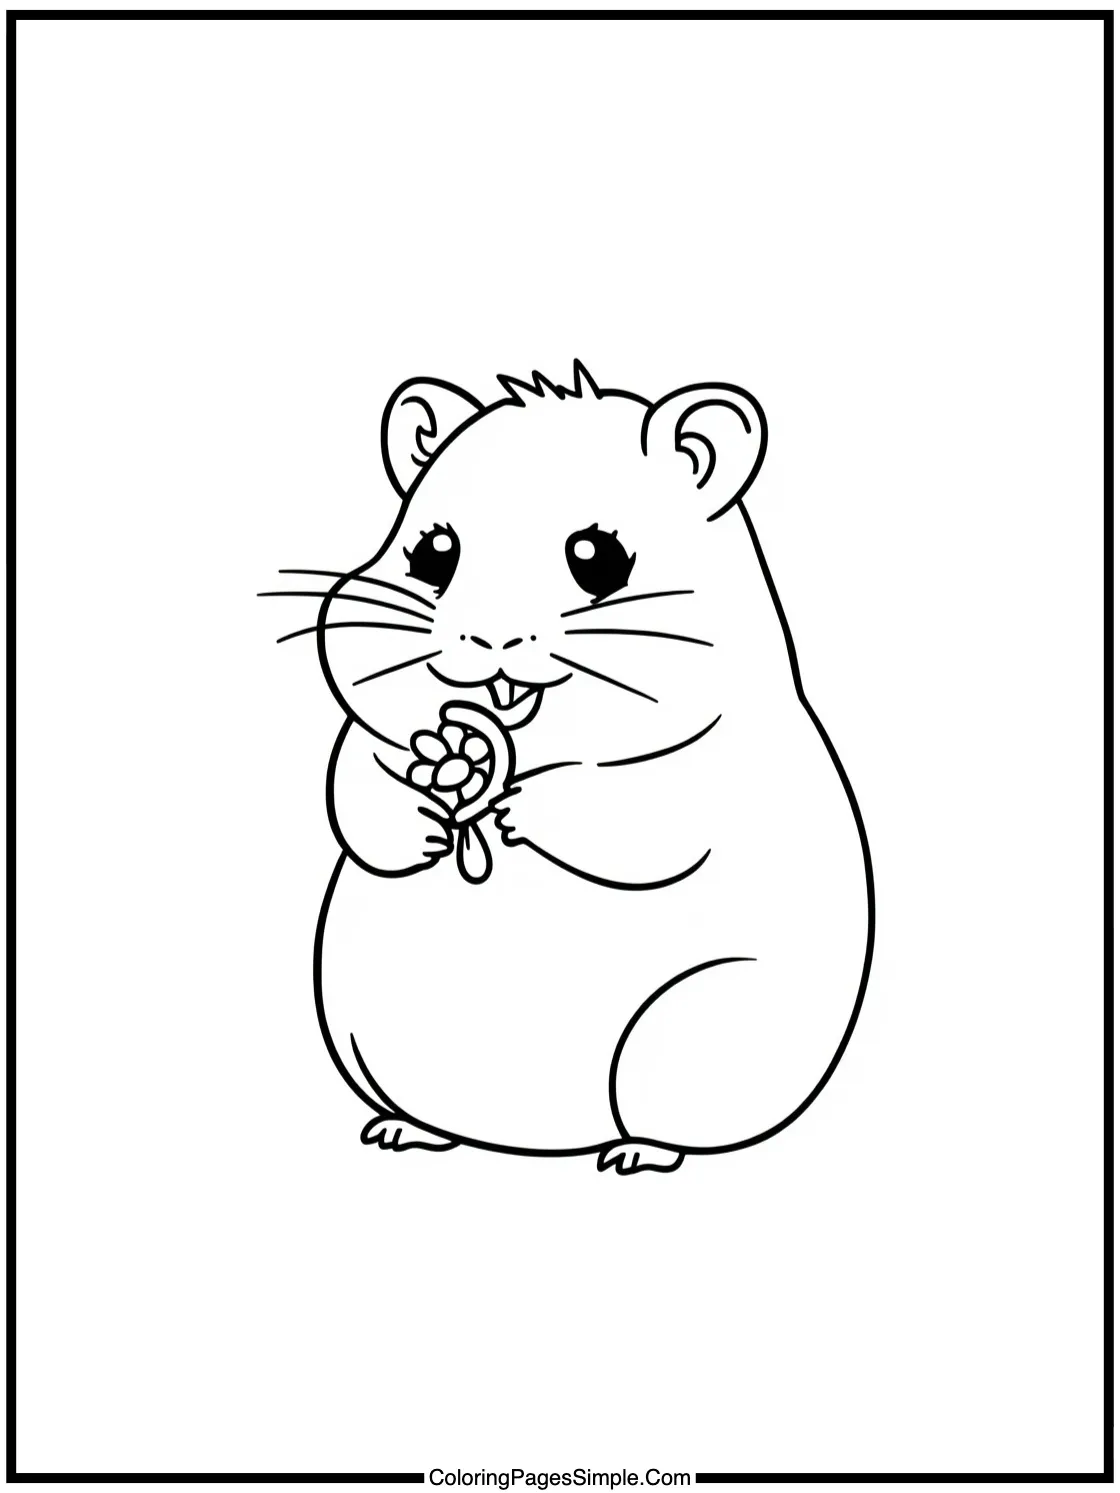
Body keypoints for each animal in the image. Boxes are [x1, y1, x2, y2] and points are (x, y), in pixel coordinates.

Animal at [275, 362, 873, 1174]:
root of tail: (532, 1137)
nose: (488, 637)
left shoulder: (706, 772)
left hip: (696, 1030)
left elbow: (644, 818)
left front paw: (518, 806)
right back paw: (404, 1130)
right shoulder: (370, 733)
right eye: (431, 553)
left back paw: (636, 1153)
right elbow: (357, 786)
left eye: (595, 556)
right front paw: (428, 823)